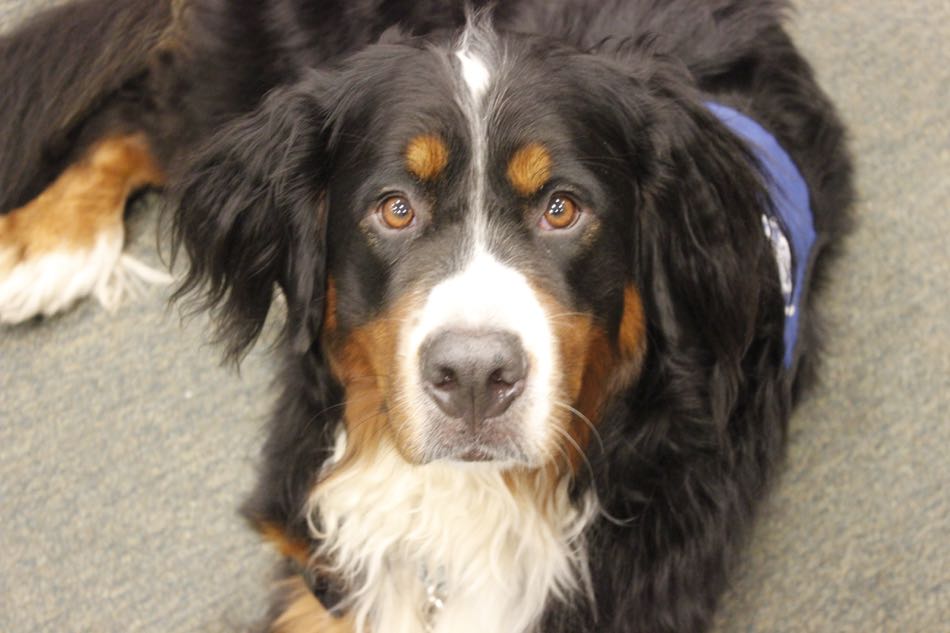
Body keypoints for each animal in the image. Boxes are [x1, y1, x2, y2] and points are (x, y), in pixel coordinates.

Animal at [0, 1, 856, 632]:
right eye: (395, 208)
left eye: (562, 209)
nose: (474, 375)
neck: (470, 498)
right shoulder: (322, 564)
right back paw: (43, 243)